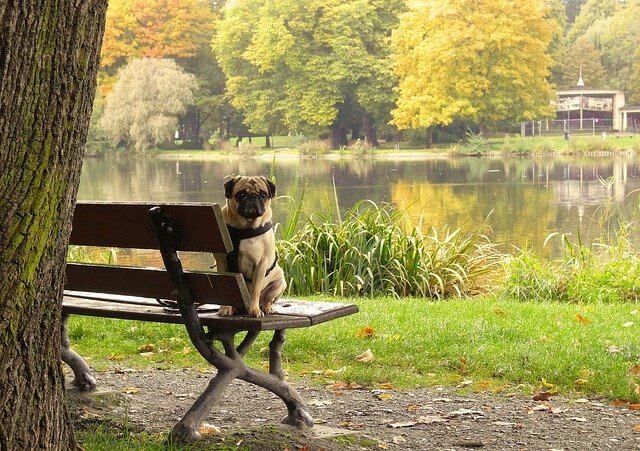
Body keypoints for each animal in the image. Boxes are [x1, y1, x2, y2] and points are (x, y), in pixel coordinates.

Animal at [219, 177, 286, 318]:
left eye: (263, 194)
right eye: (241, 194)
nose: (253, 197)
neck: (245, 229)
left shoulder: (261, 264)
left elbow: (255, 290)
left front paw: (254, 310)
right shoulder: (222, 262)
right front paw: (225, 308)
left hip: (280, 283)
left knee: (267, 300)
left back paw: (266, 307)